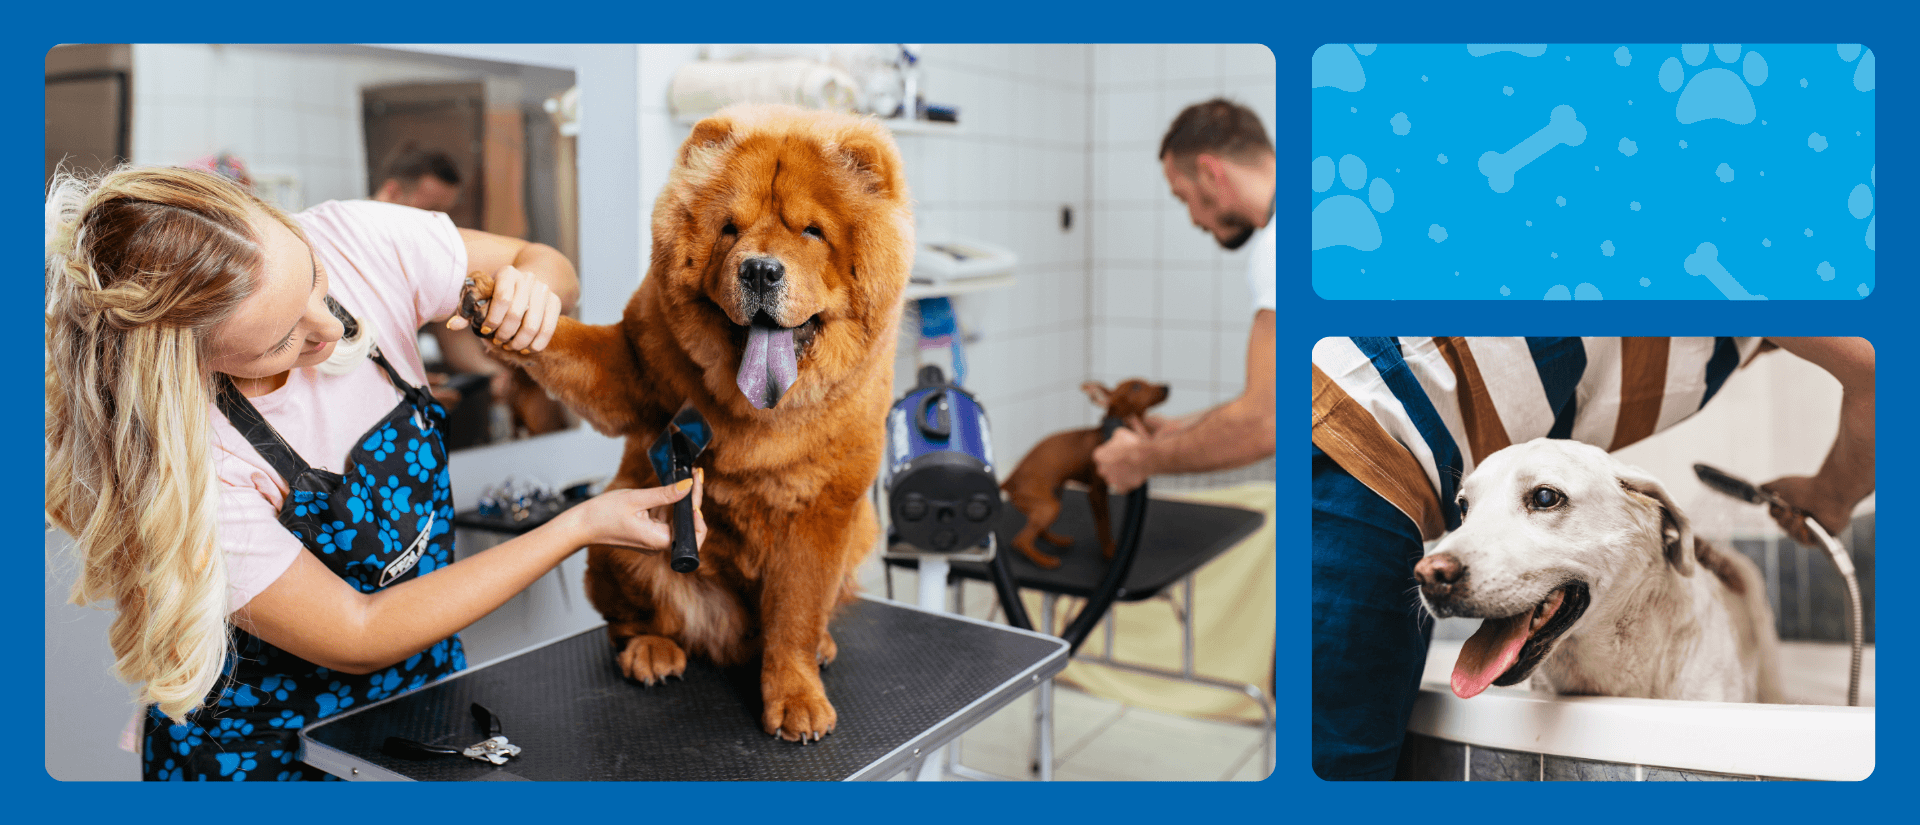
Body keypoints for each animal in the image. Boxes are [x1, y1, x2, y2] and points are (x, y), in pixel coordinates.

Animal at [462, 103, 913, 740]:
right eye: (730, 229)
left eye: (811, 231)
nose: (760, 270)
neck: (760, 411)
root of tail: (733, 638)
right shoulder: (632, 364)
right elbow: (570, 345)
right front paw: (502, 306)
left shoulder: (822, 511)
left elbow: (797, 613)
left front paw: (796, 697)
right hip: (615, 550)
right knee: (632, 621)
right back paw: (652, 651)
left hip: (861, 532)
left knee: (805, 616)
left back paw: (819, 646)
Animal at [1006, 377, 1167, 567]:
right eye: (1136, 386)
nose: (1166, 387)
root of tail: (1009, 480)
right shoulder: (1096, 492)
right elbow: (1104, 524)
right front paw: (1109, 552)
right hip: (1048, 505)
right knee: (1021, 540)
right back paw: (1045, 561)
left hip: (1052, 497)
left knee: (1039, 531)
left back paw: (1058, 541)